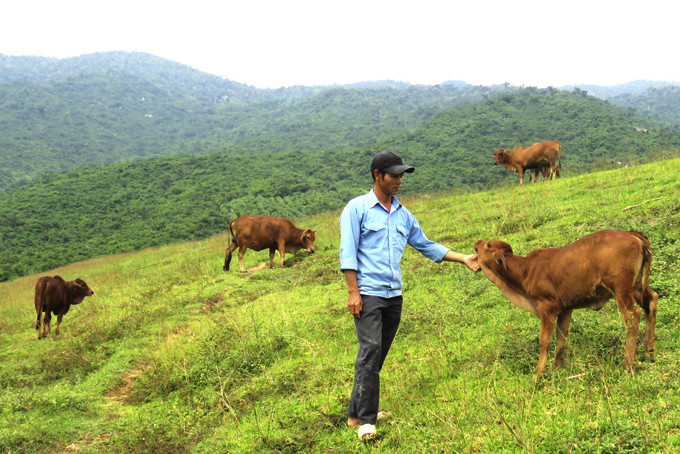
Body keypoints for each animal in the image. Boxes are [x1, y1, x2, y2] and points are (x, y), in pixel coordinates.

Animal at [472, 231, 660, 376]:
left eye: (488, 245)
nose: (477, 241)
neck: (525, 271)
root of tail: (630, 234)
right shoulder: (565, 309)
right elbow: (561, 339)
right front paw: (557, 368)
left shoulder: (547, 308)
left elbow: (545, 340)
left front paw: (539, 373)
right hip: (636, 286)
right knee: (651, 300)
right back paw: (649, 350)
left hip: (621, 288)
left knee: (632, 315)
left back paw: (627, 364)